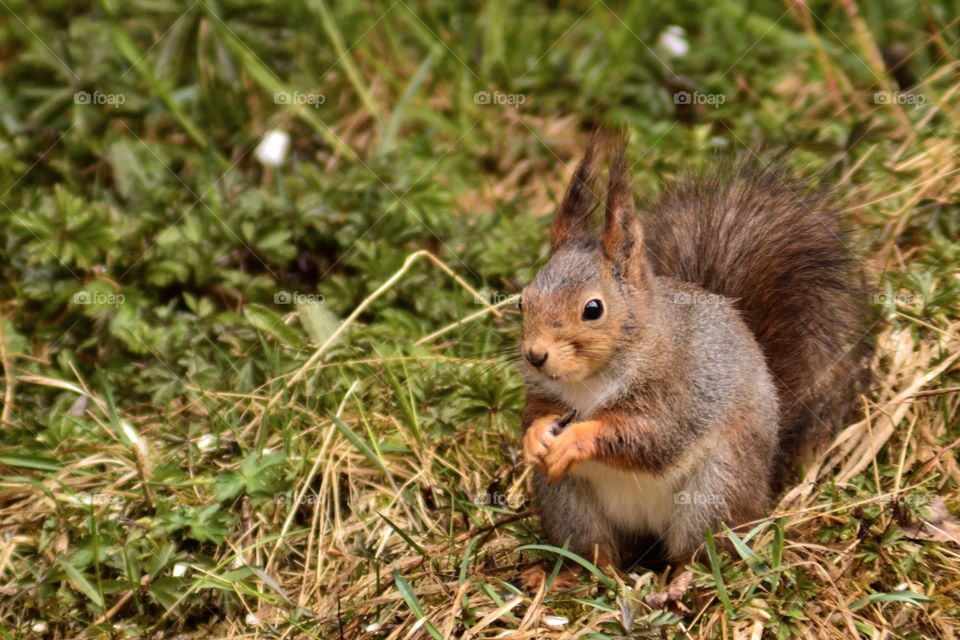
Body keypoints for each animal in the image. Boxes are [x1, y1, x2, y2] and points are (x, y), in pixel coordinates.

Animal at [518, 131, 873, 569]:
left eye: (593, 309)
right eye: (522, 301)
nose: (535, 356)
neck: (591, 381)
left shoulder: (681, 392)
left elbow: (649, 435)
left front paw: (576, 439)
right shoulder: (544, 392)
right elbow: (534, 412)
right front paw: (535, 436)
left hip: (717, 488)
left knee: (700, 551)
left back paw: (683, 578)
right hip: (568, 503)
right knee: (597, 551)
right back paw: (578, 574)